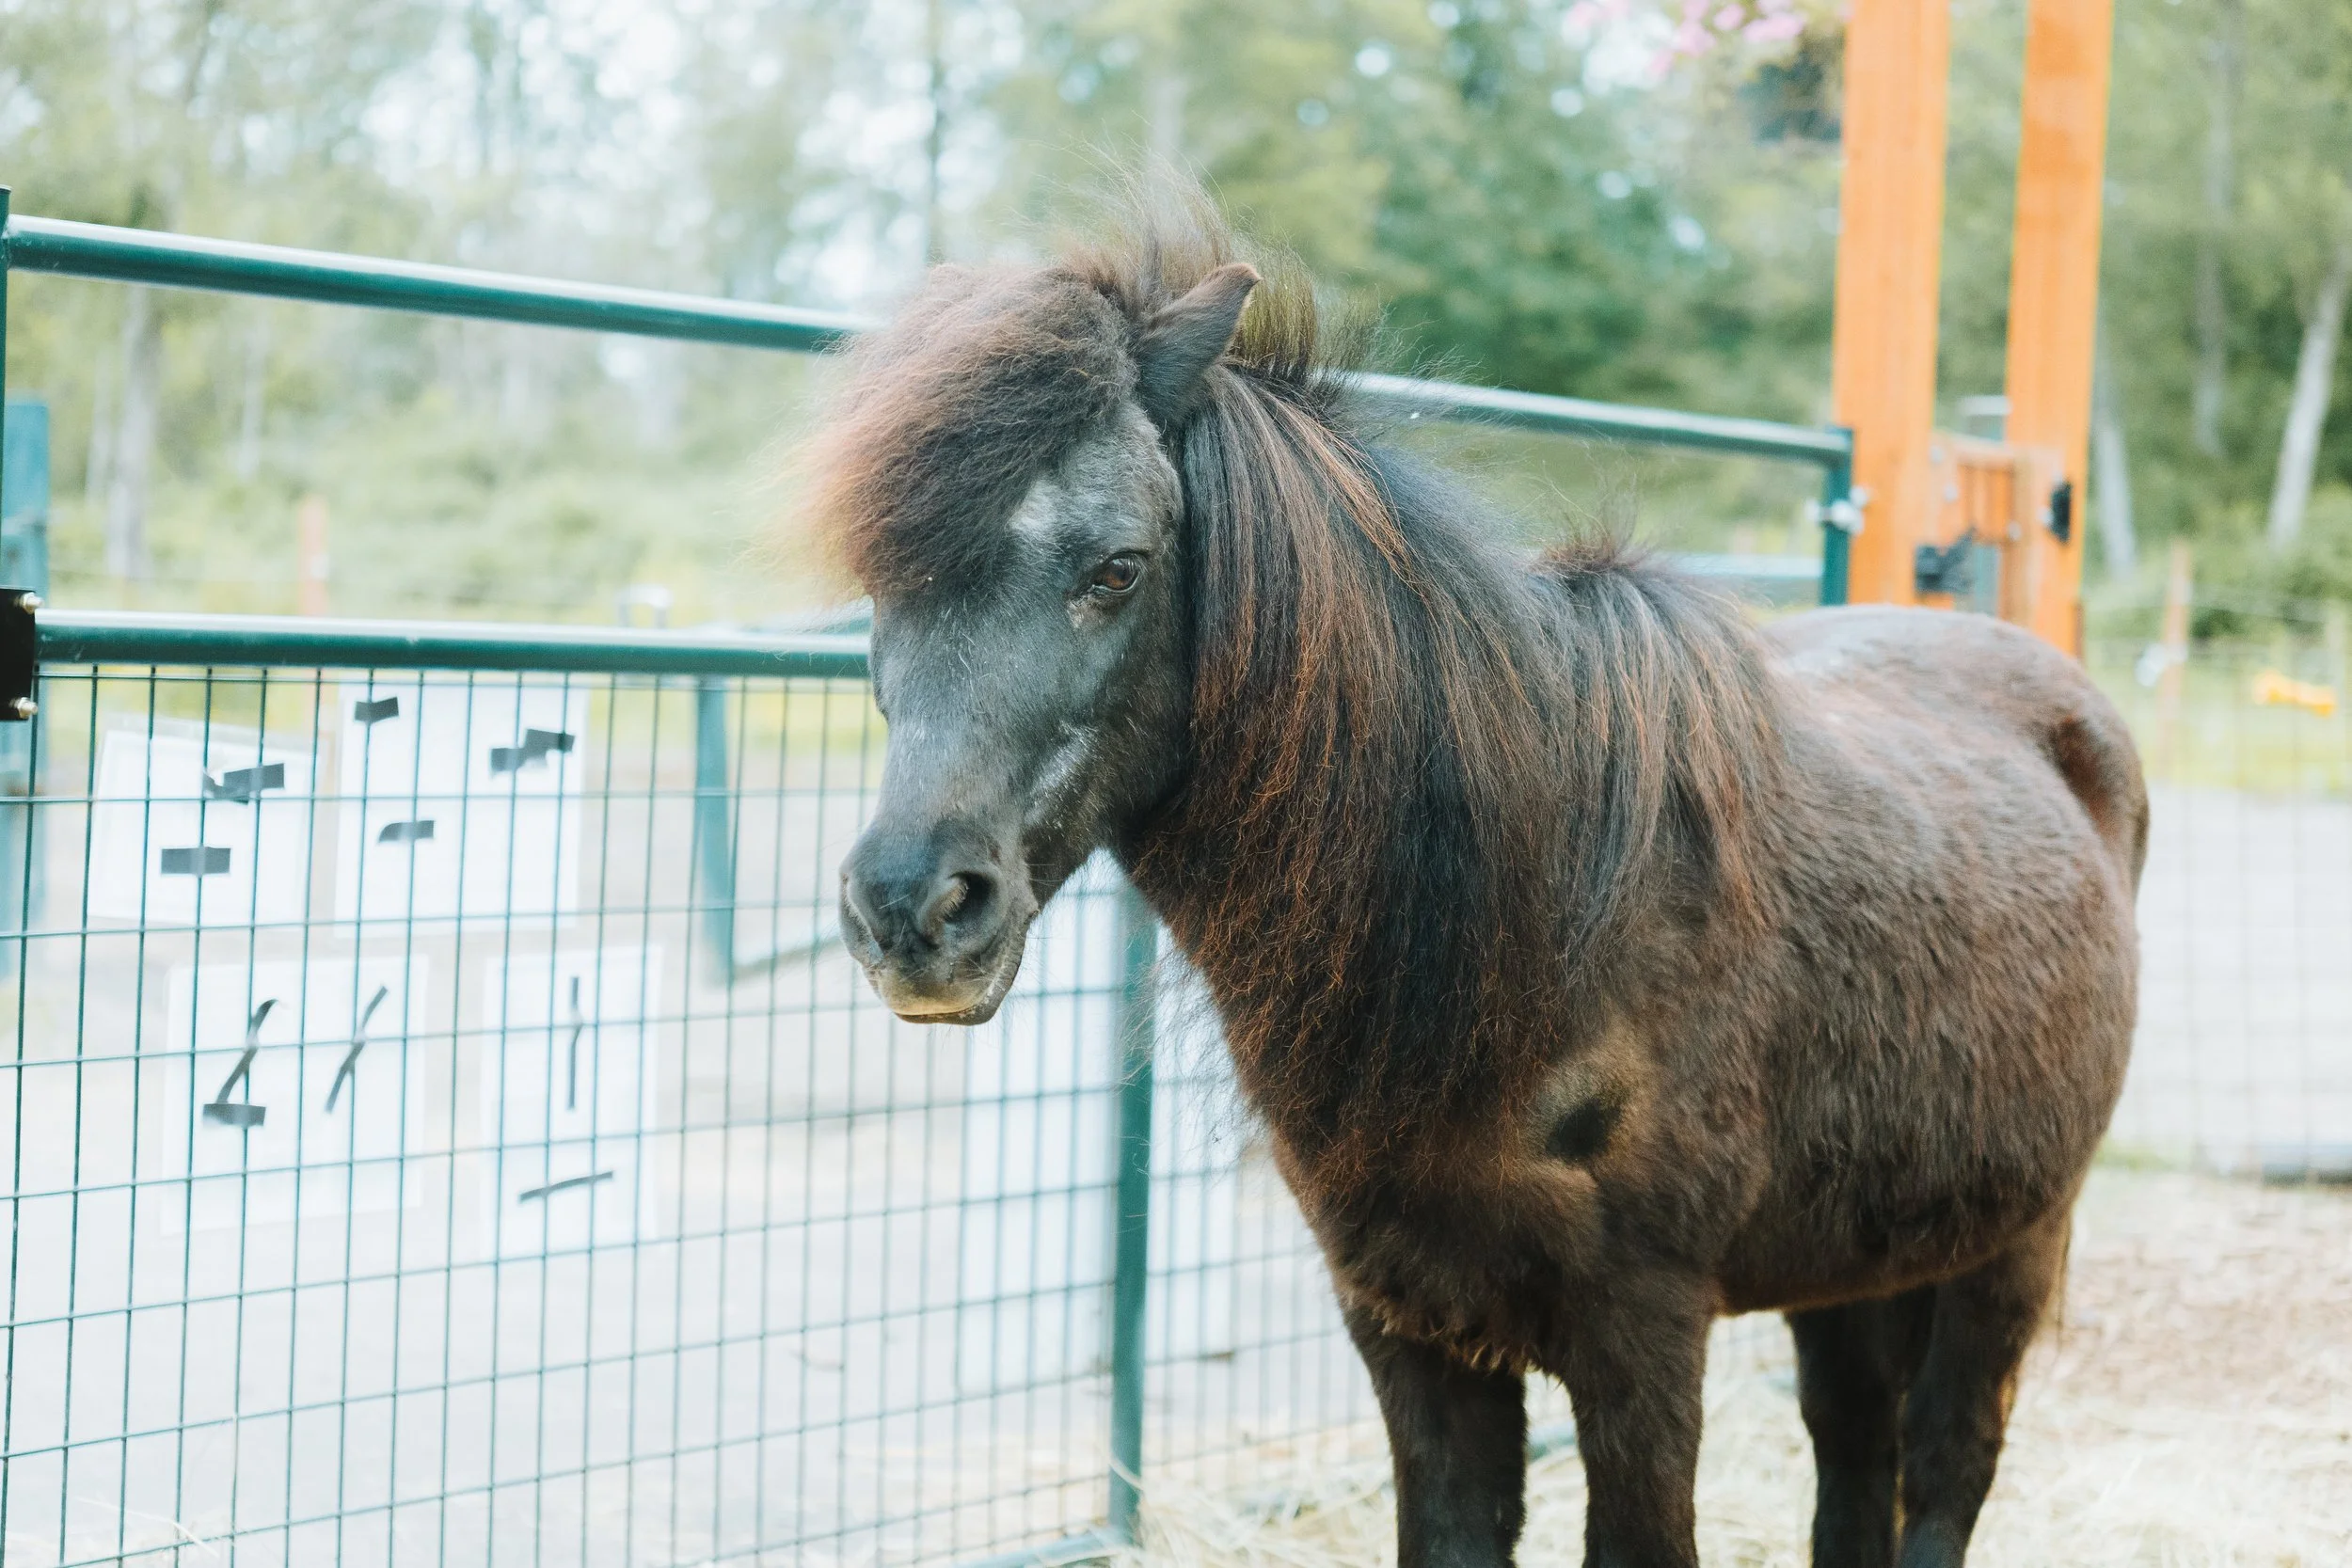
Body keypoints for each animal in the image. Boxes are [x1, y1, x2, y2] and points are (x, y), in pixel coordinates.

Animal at [803, 204, 2147, 1568]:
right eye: (880, 582)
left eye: (1118, 567)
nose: (912, 909)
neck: (1526, 914)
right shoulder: (1409, 1327)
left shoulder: (1642, 1336)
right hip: (1856, 1263)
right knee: (1855, 1451)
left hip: (2013, 1242)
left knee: (1945, 1465)